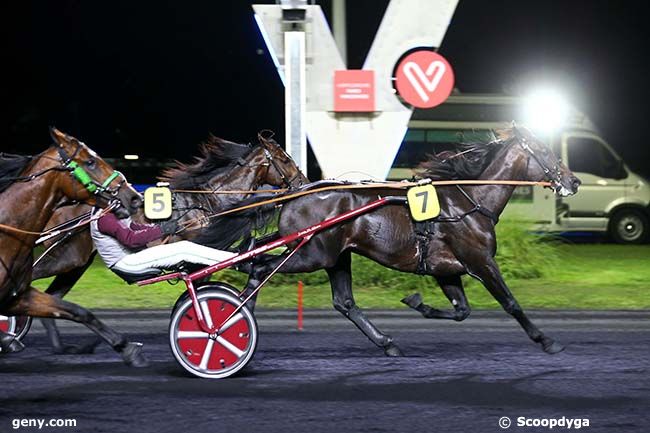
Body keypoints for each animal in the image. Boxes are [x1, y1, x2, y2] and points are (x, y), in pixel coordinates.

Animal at [17, 134, 306, 352]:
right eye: (284, 158)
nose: (302, 183)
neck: (205, 202)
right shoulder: (192, 259)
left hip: (76, 264)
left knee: (53, 297)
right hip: (67, 255)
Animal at [200, 126, 580, 356]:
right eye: (545, 151)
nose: (573, 181)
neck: (469, 200)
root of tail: (295, 193)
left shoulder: (446, 270)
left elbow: (462, 311)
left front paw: (417, 303)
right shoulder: (481, 261)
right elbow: (511, 303)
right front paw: (547, 340)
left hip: (334, 255)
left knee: (339, 300)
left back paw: (386, 342)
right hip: (311, 254)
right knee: (259, 267)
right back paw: (232, 320)